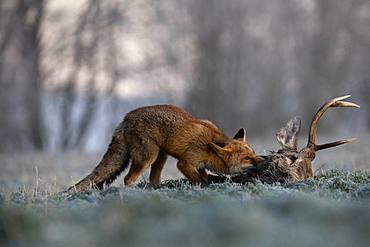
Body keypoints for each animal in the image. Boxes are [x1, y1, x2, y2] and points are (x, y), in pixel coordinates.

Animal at [67, 103, 264, 191]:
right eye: (246, 158)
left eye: (253, 153)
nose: (264, 160)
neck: (209, 146)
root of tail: (126, 117)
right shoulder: (185, 163)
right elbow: (200, 181)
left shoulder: (199, 166)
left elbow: (204, 178)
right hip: (148, 157)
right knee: (128, 179)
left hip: (161, 156)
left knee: (153, 179)